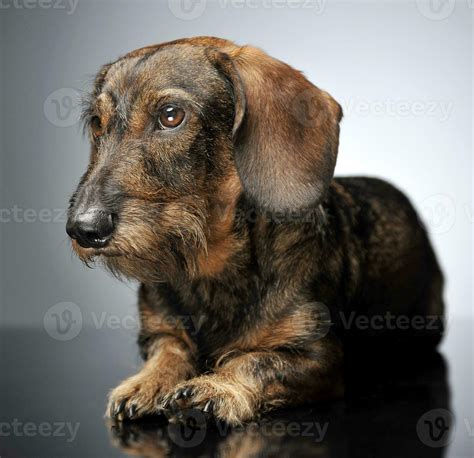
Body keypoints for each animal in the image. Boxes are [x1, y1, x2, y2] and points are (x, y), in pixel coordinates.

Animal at [66, 35, 444, 426]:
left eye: (171, 115)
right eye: (96, 121)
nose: (84, 229)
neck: (209, 266)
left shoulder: (317, 357)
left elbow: (256, 361)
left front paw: (214, 388)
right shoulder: (158, 332)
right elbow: (170, 350)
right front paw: (146, 382)